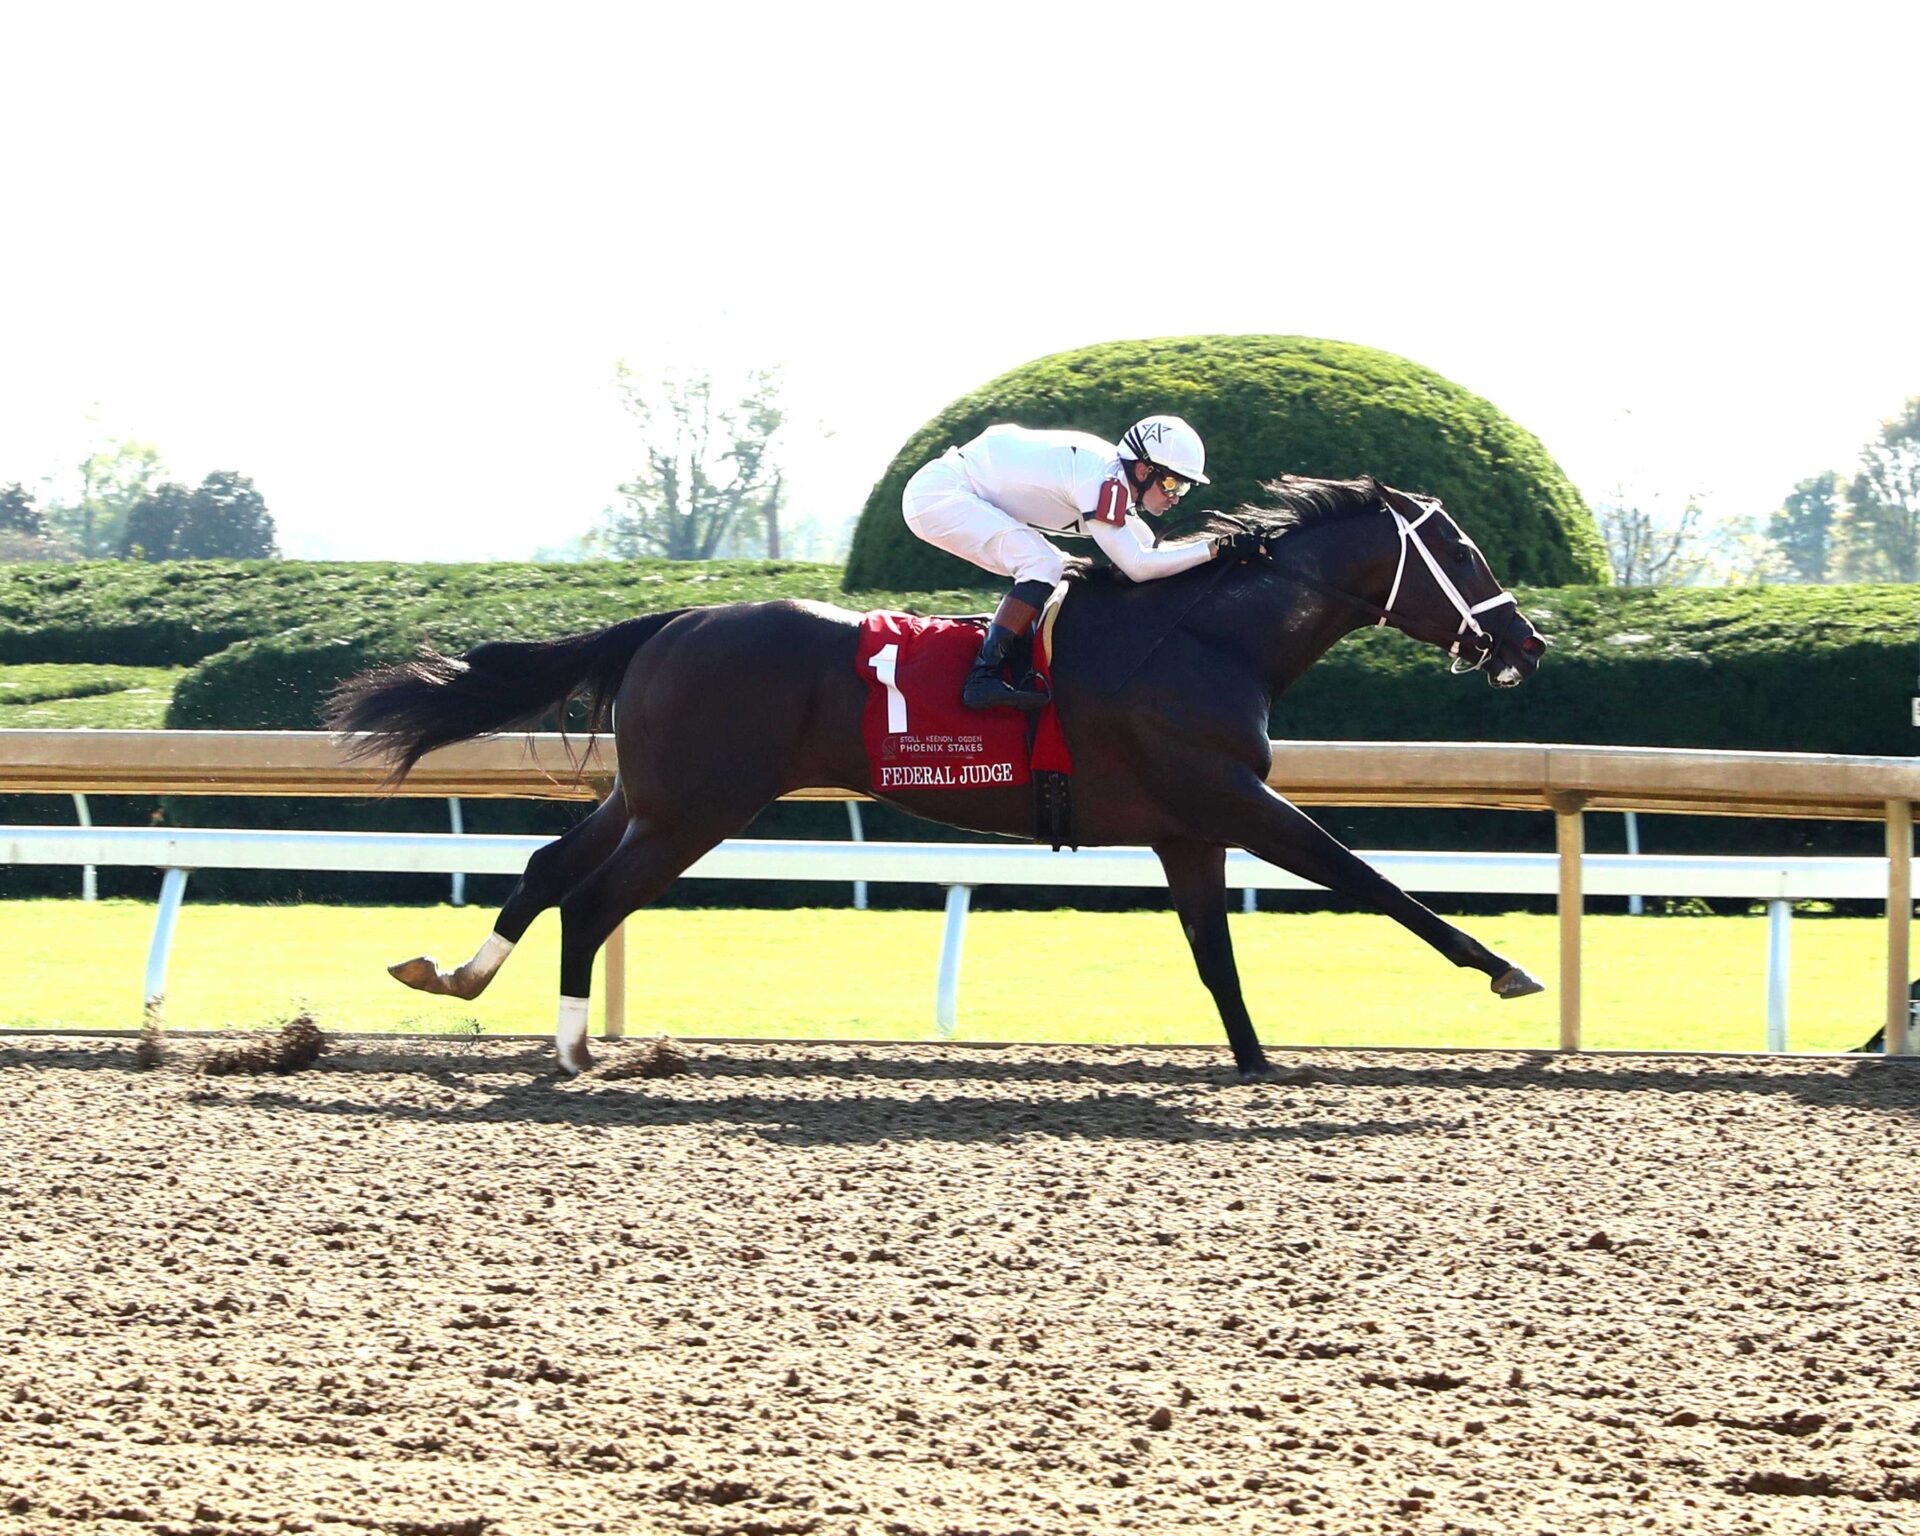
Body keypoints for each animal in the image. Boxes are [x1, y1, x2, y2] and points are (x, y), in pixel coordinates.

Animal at [328, 475, 1549, 1078]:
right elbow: (1371, 880)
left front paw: (1254, 1064)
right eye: (1465, 554)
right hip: (700, 809)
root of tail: (673, 619)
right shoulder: (1232, 799)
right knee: (591, 900)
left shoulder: (1189, 829)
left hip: (654, 795)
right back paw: (579, 1049)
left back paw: (458, 976)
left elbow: (1216, 955)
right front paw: (1505, 970)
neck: (1207, 638)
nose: (1525, 643)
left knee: (547, 867)